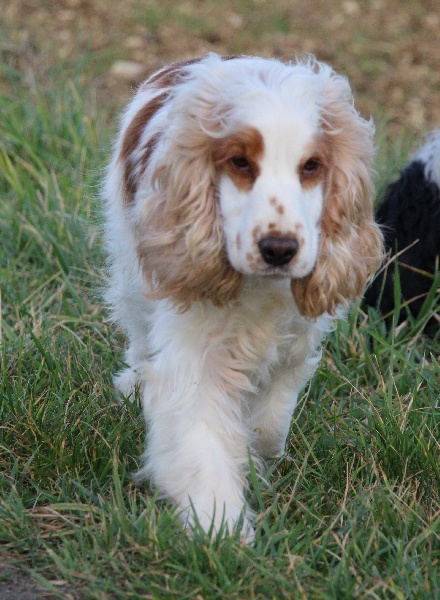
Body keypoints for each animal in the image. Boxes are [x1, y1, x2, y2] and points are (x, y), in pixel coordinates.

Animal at [103, 53, 383, 539]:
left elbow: (270, 417)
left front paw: (254, 456)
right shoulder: (192, 355)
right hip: (132, 272)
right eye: (239, 161)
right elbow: (200, 443)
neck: (259, 288)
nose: (280, 249)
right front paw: (220, 529)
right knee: (138, 337)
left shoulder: (297, 340)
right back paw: (132, 384)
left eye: (312, 166)